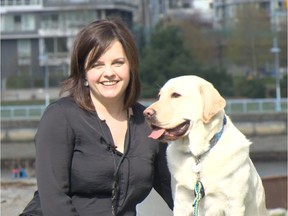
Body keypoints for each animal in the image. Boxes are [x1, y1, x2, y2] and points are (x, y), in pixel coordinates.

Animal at [144, 75, 268, 216]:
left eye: (176, 95)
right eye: (159, 96)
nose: (146, 113)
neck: (197, 154)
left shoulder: (234, 204)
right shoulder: (180, 202)